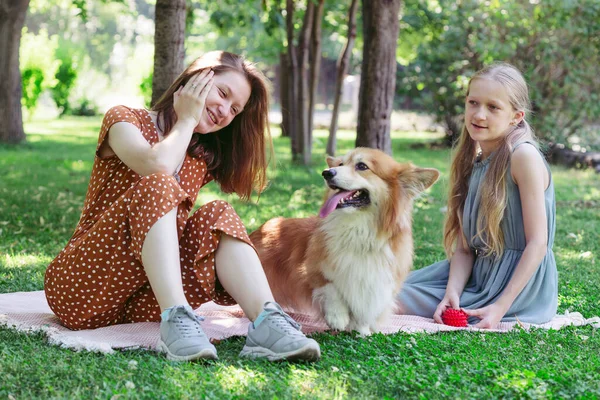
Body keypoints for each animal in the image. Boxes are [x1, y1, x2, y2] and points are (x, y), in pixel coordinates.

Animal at [250, 147, 440, 334]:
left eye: (362, 166)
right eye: (341, 164)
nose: (326, 173)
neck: (358, 229)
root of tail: (260, 229)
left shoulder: (377, 282)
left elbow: (365, 309)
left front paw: (362, 330)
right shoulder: (311, 268)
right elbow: (330, 286)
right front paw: (337, 317)